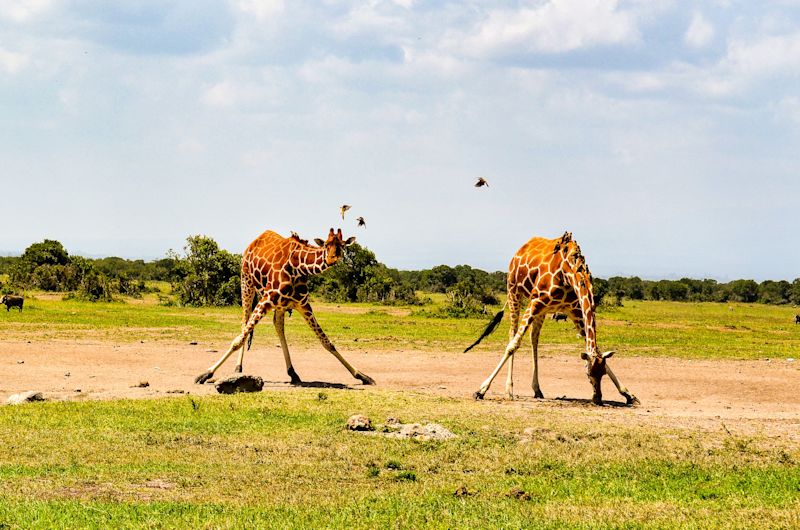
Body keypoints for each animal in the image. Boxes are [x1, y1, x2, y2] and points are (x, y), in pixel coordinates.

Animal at [197, 226, 378, 384]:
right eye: (326, 244)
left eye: (342, 245)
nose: (331, 258)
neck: (298, 267)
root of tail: (254, 241)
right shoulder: (266, 299)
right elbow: (238, 340)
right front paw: (205, 373)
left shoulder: (303, 305)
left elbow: (326, 341)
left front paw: (362, 375)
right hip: (246, 282)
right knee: (244, 323)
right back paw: (238, 368)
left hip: (280, 305)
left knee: (278, 326)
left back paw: (293, 373)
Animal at [466, 231, 636, 404]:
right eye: (588, 373)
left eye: (602, 373)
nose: (598, 398)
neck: (569, 272)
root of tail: (520, 250)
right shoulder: (536, 301)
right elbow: (513, 345)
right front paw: (481, 390)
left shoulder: (574, 311)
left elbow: (596, 348)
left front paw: (628, 394)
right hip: (514, 292)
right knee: (512, 334)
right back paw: (509, 390)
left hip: (542, 309)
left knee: (534, 338)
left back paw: (537, 389)